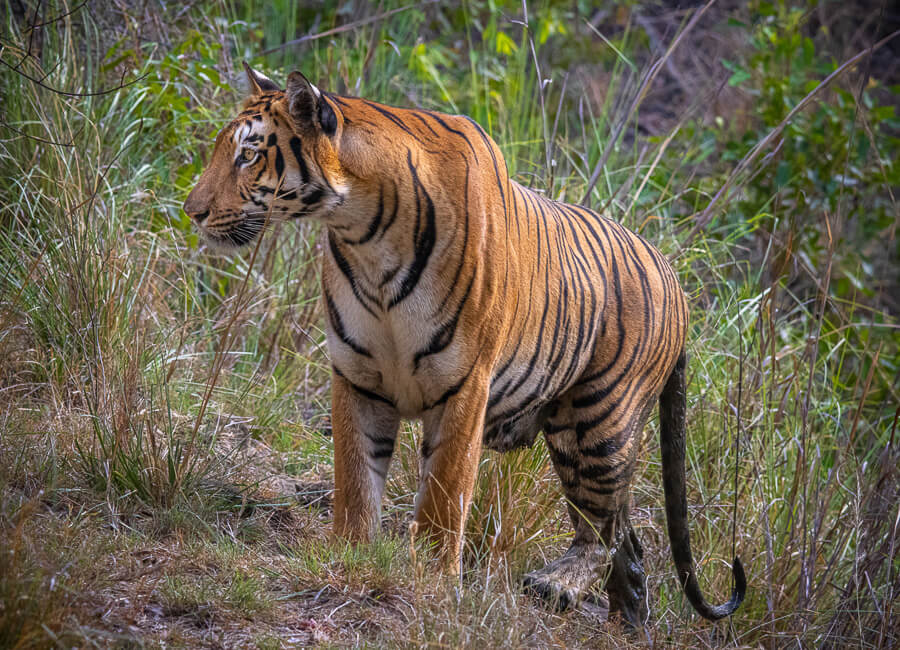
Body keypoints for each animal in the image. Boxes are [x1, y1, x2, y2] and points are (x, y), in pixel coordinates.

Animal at [183, 62, 746, 626]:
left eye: (248, 155)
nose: (191, 211)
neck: (363, 234)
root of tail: (674, 276)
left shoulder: (464, 385)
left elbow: (443, 493)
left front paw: (432, 582)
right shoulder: (358, 378)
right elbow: (356, 482)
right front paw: (351, 557)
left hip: (596, 426)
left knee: (603, 532)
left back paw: (556, 584)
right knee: (629, 545)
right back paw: (626, 622)